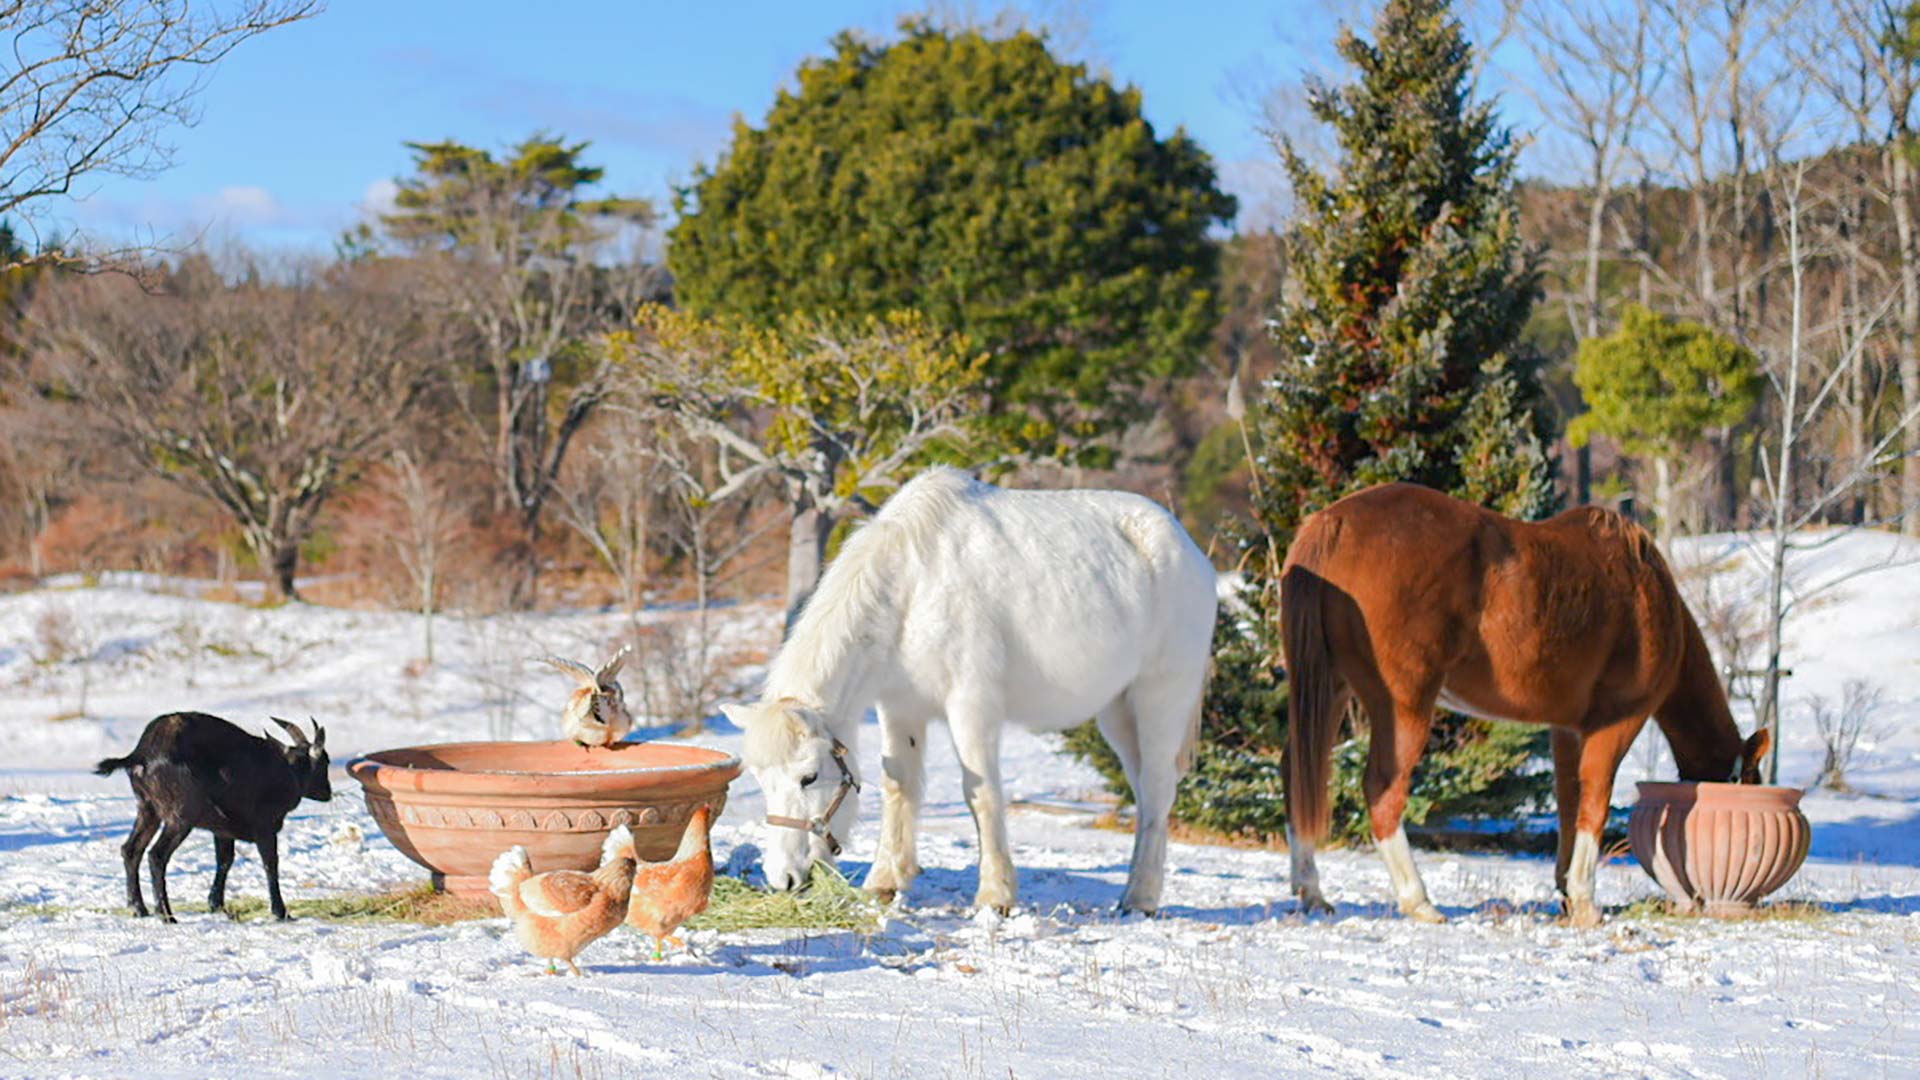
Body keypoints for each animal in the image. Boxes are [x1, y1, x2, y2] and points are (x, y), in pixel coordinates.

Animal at [720, 467, 1216, 914]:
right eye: (760, 780)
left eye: (808, 777)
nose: (783, 879)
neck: (912, 588)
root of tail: (1188, 548)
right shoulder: (899, 707)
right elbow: (900, 786)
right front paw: (885, 882)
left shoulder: (971, 707)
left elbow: (982, 794)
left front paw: (996, 896)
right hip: (1117, 712)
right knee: (1144, 794)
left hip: (1159, 699)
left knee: (1157, 789)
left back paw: (1140, 898)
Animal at [1280, 483, 1769, 927]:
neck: (1647, 593)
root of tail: (1334, 523)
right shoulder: (1618, 722)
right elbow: (1596, 800)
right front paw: (1585, 902)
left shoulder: (1568, 730)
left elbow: (1569, 802)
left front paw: (1567, 891)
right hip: (1404, 707)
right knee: (1383, 789)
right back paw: (1418, 901)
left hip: (1329, 691)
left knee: (1297, 773)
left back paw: (1312, 892)